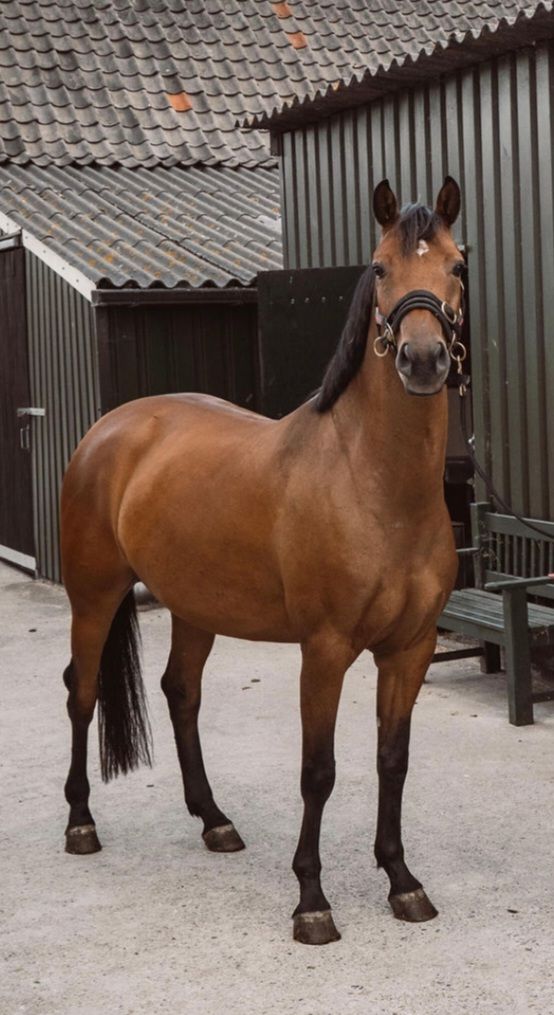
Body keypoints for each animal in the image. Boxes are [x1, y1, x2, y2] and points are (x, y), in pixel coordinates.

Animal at [61, 177, 465, 945]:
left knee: (180, 693)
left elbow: (392, 762)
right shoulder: (325, 649)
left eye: (458, 266)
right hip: (93, 596)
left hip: (194, 606)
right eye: (379, 268)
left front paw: (402, 880)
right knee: (82, 693)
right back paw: (80, 823)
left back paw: (214, 820)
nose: (423, 360)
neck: (375, 484)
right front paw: (311, 901)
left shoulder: (411, 648)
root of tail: (110, 428)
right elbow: (319, 771)